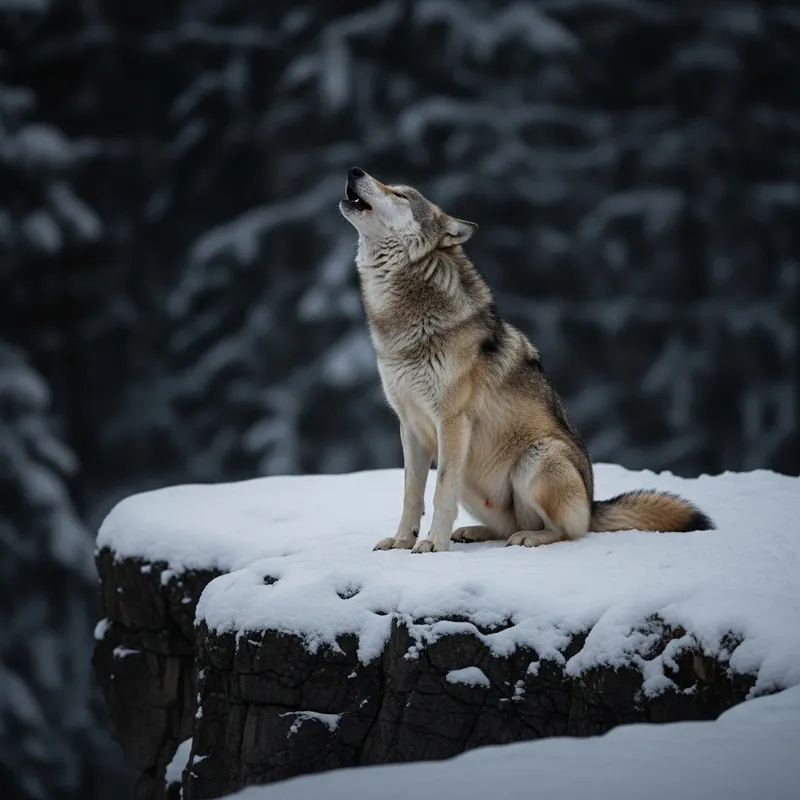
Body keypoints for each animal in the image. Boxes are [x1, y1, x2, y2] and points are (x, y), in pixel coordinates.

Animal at [339, 167, 714, 553]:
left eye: (400, 195)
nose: (355, 170)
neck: (404, 322)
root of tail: (592, 506)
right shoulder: (410, 425)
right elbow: (411, 495)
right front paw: (402, 541)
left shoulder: (452, 423)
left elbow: (441, 493)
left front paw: (432, 545)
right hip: (475, 479)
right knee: (503, 526)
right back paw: (473, 532)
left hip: (535, 459)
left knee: (565, 531)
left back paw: (528, 538)